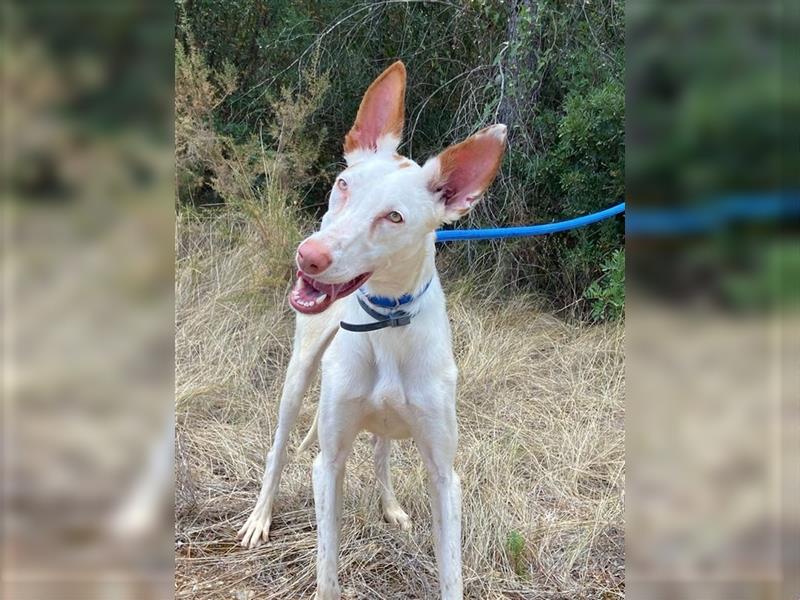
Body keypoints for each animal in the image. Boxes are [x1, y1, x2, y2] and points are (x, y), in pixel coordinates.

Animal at [238, 61, 506, 600]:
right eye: (344, 184)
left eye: (394, 216)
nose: (309, 257)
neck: (386, 322)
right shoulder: (328, 463)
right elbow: (327, 569)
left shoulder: (444, 476)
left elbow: (451, 573)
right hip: (299, 376)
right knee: (277, 450)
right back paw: (259, 518)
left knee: (382, 451)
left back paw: (390, 505)